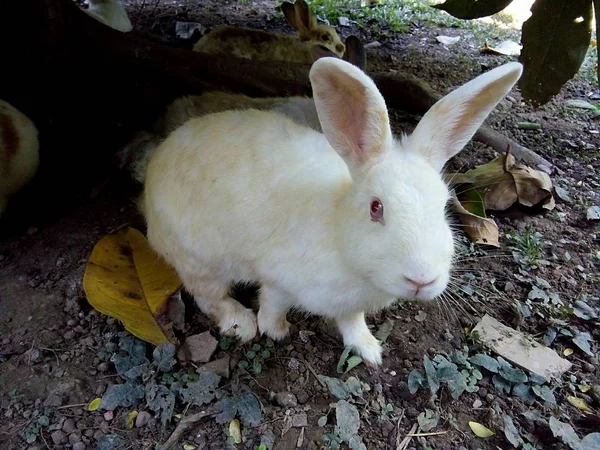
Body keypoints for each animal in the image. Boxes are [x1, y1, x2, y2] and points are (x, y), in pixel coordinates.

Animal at [143, 58, 524, 366]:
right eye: (375, 207)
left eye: (445, 206)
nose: (421, 280)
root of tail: (154, 169)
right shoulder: (278, 279)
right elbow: (273, 303)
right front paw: (276, 330)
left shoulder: (351, 305)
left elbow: (352, 323)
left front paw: (369, 350)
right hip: (200, 260)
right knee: (209, 296)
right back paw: (242, 323)